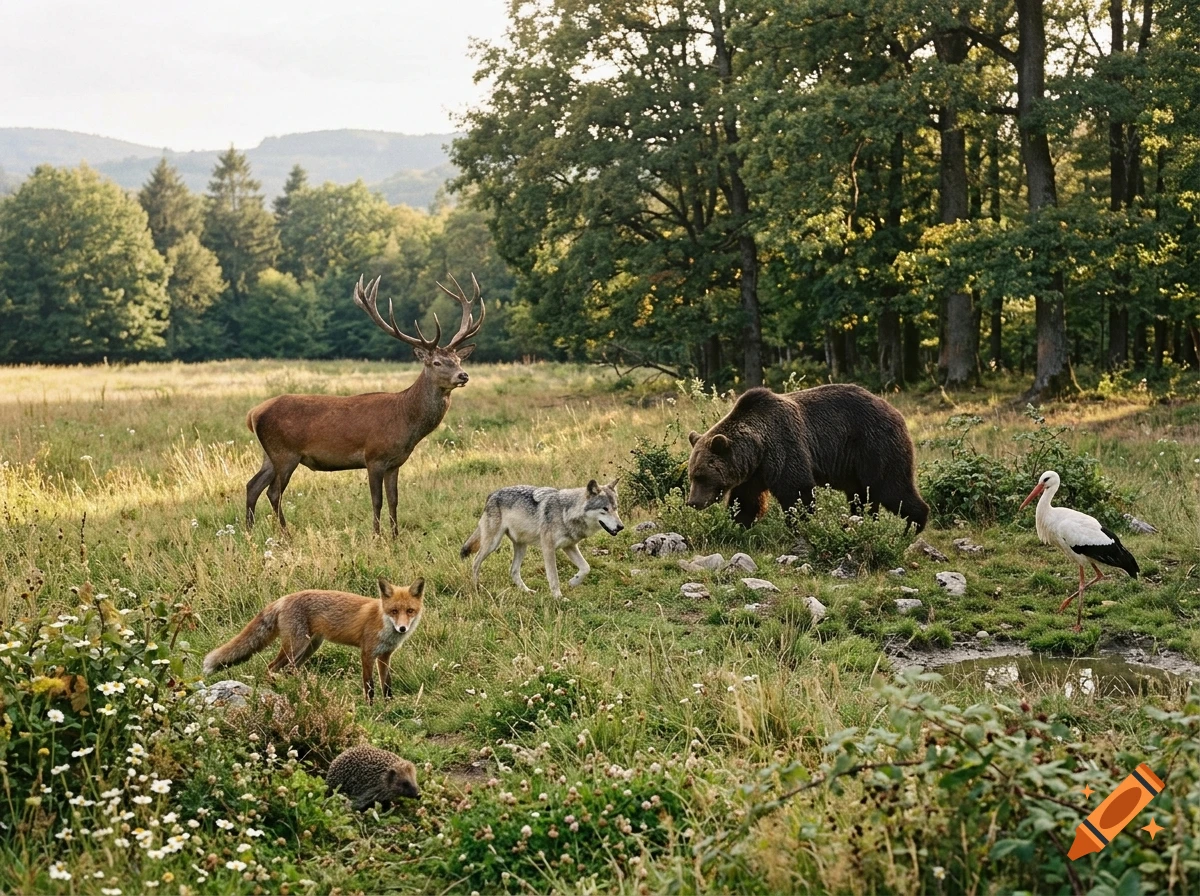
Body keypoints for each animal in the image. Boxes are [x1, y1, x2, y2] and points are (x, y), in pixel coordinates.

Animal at [202, 578, 424, 702]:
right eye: (394, 611)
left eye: (409, 611)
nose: (402, 628)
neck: (382, 622)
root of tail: (283, 598)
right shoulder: (367, 654)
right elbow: (369, 686)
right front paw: (370, 708)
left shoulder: (385, 656)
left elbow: (387, 685)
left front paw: (388, 705)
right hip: (295, 646)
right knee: (271, 667)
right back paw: (275, 690)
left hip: (310, 647)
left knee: (290, 670)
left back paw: (297, 689)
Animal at [245, 273, 484, 536]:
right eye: (437, 362)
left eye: (459, 359)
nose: (463, 375)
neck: (406, 421)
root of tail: (253, 414)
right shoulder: (374, 457)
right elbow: (376, 500)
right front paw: (377, 536)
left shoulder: (395, 463)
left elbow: (394, 500)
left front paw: (395, 537)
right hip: (285, 452)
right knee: (273, 492)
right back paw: (286, 534)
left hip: (269, 454)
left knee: (252, 485)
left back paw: (248, 531)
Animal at [686, 384, 929, 532]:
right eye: (692, 475)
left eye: (702, 476)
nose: (692, 502)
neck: (758, 448)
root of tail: (897, 412)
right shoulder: (755, 473)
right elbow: (746, 501)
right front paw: (738, 524)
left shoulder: (784, 447)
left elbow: (797, 491)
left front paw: (800, 525)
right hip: (855, 466)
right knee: (862, 496)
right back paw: (860, 522)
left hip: (875, 446)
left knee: (891, 487)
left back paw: (912, 527)